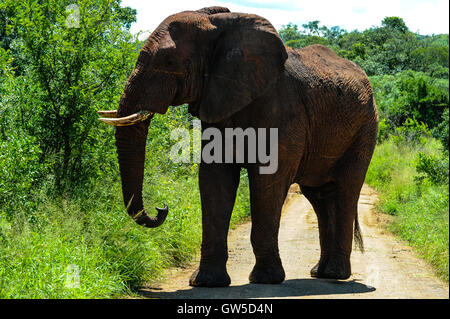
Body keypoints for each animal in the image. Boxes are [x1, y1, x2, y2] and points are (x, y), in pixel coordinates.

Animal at [99, 6, 380, 288]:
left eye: (168, 61)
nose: (161, 208)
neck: (219, 26)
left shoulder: (282, 109)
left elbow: (267, 183)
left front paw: (265, 280)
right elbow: (214, 180)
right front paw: (206, 282)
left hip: (365, 129)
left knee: (344, 191)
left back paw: (334, 275)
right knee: (320, 196)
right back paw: (319, 272)